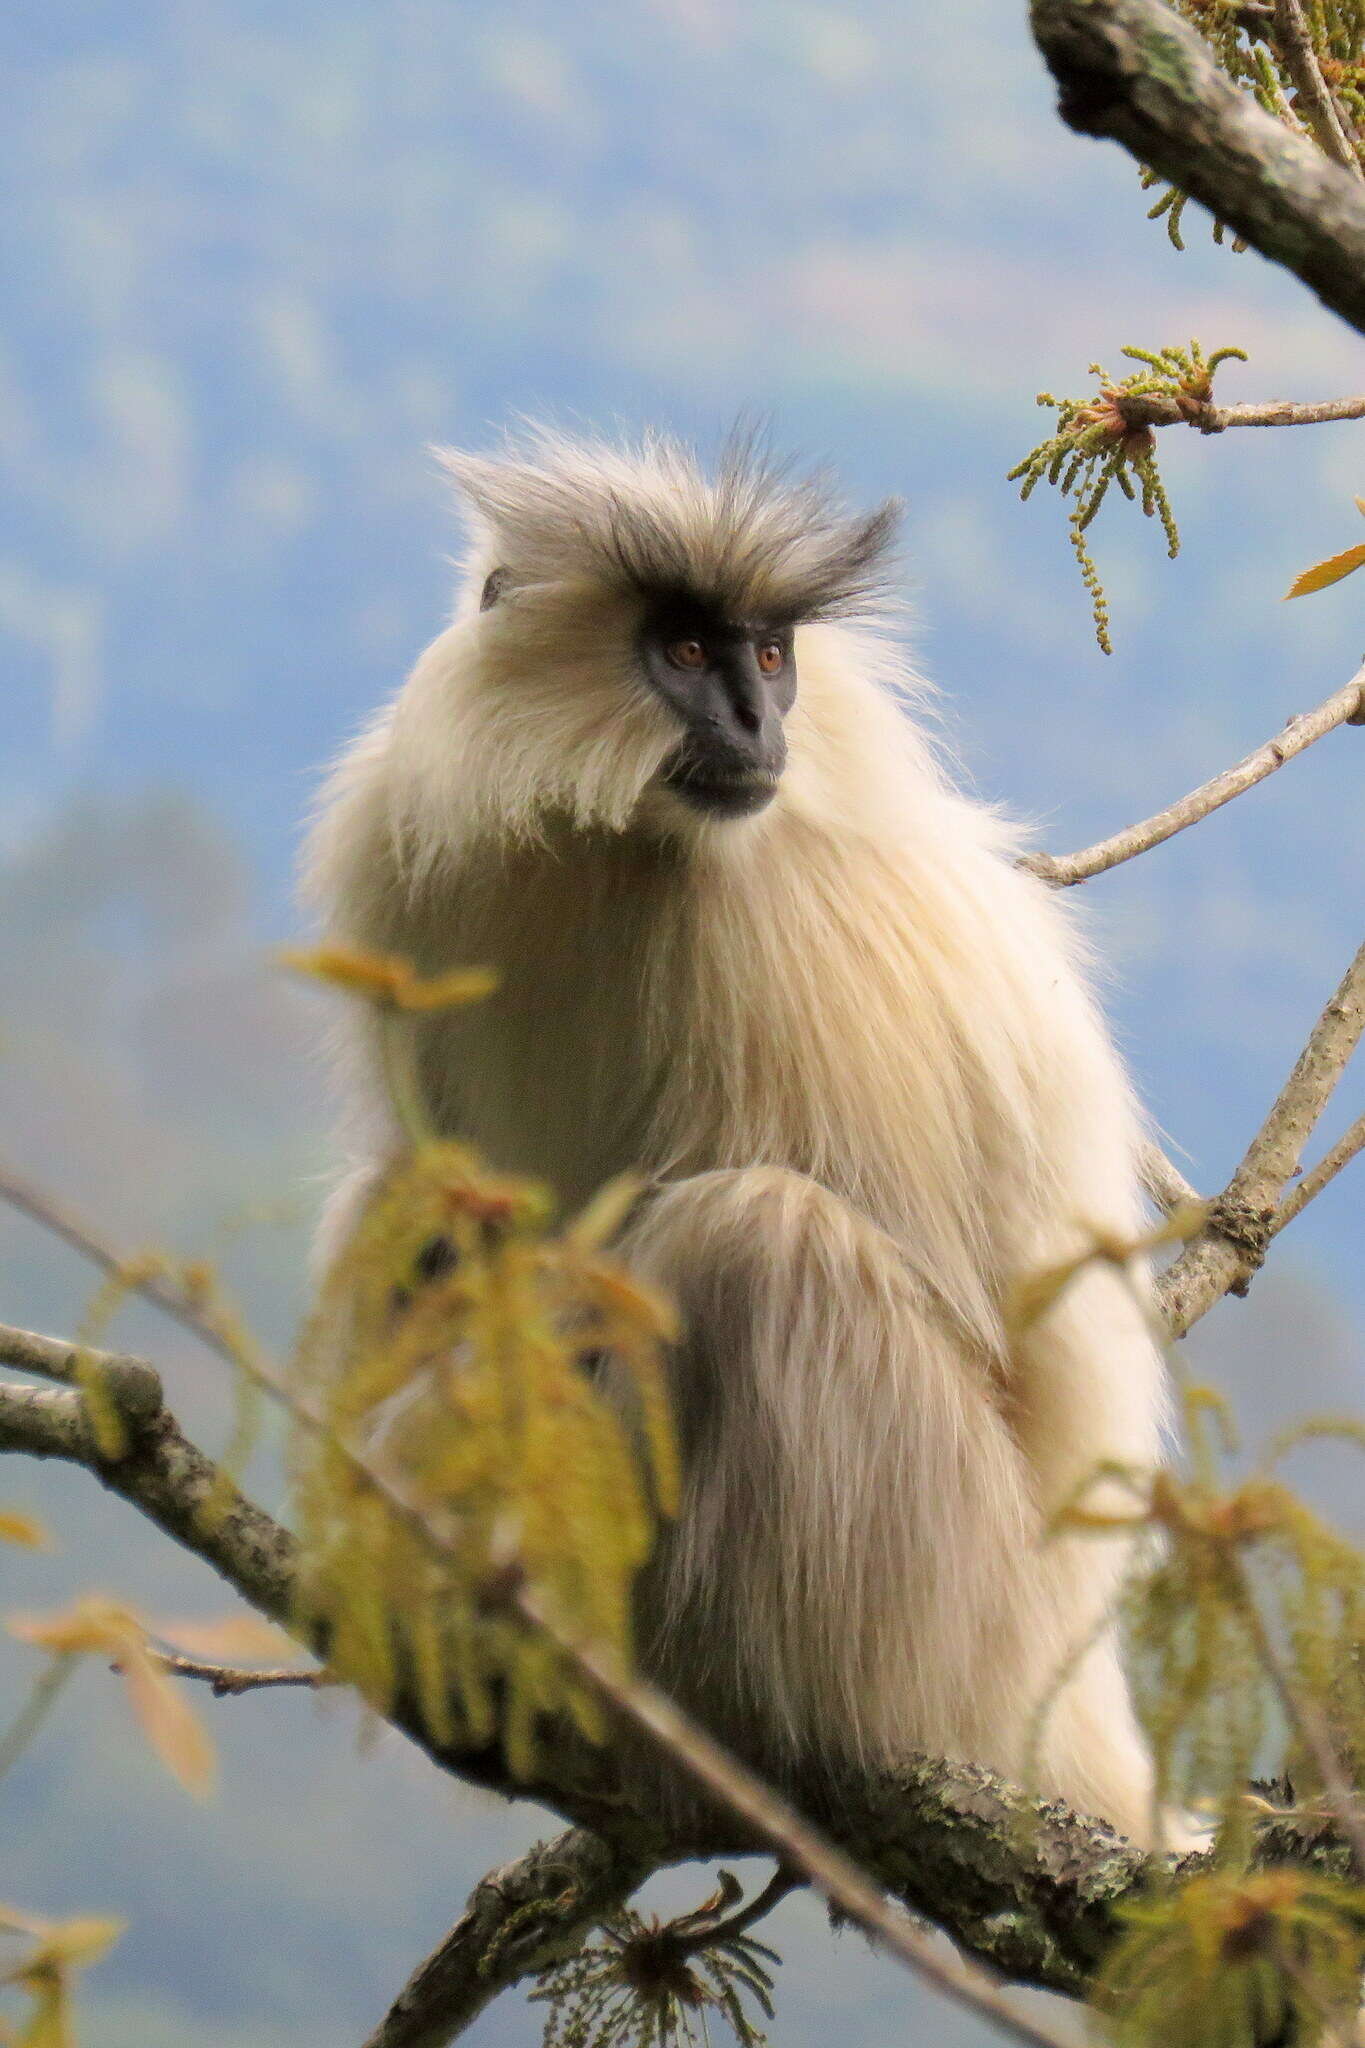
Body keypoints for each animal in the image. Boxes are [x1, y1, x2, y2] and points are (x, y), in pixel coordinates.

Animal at [306, 423, 1178, 1851]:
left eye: (769, 655)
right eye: (687, 648)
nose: (758, 721)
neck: (618, 843)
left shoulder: (786, 922)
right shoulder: (408, 846)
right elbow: (454, 1198)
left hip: (955, 1617)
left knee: (759, 1239)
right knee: (413, 1199)